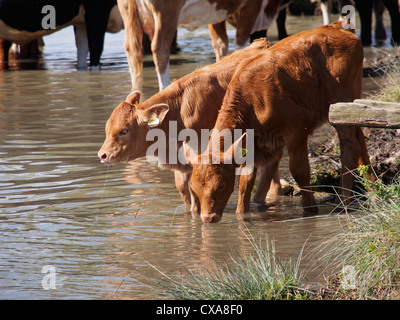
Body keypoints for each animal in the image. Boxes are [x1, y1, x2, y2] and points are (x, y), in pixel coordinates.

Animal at [117, 0, 282, 93]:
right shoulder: (251, 7)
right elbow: (240, 43)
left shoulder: (216, 15)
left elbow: (220, 45)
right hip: (166, 13)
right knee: (159, 47)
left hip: (127, 13)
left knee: (132, 50)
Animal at [184, 21, 372, 222]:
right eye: (194, 188)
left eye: (221, 184)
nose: (208, 218)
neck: (251, 99)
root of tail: (337, 27)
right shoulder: (251, 146)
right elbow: (245, 181)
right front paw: (241, 215)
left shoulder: (296, 130)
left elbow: (299, 170)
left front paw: (310, 209)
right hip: (348, 108)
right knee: (360, 137)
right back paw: (372, 187)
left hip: (340, 102)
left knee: (349, 145)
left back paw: (343, 201)